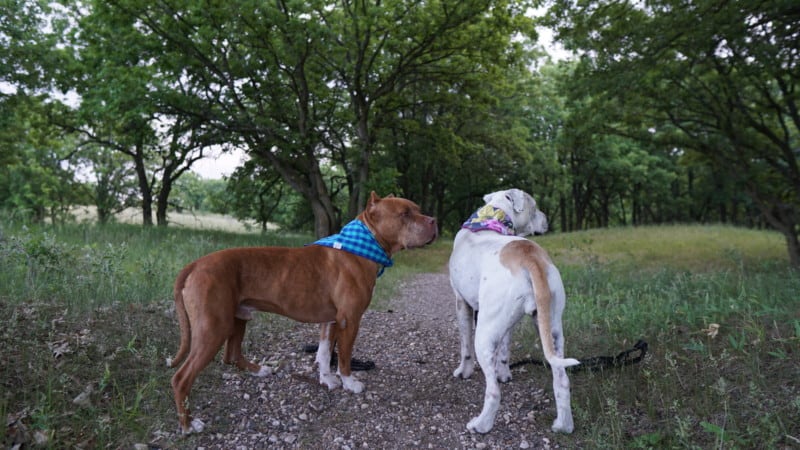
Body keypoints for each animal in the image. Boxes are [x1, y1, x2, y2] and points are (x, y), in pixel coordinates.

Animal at [165, 192, 434, 432]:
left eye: (418, 209)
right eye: (405, 214)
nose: (433, 221)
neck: (364, 244)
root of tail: (195, 264)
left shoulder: (330, 320)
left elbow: (325, 352)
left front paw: (327, 379)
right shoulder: (350, 320)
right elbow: (344, 357)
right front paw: (349, 382)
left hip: (237, 316)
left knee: (230, 355)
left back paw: (258, 371)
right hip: (213, 328)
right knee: (181, 379)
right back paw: (188, 425)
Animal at [450, 188, 576, 434]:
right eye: (535, 207)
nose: (547, 220)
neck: (493, 217)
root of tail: (529, 256)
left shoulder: (462, 303)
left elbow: (464, 346)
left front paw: (463, 372)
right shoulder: (506, 325)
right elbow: (504, 350)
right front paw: (504, 373)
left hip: (484, 333)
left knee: (493, 391)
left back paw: (481, 424)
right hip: (552, 329)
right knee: (562, 380)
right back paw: (563, 425)